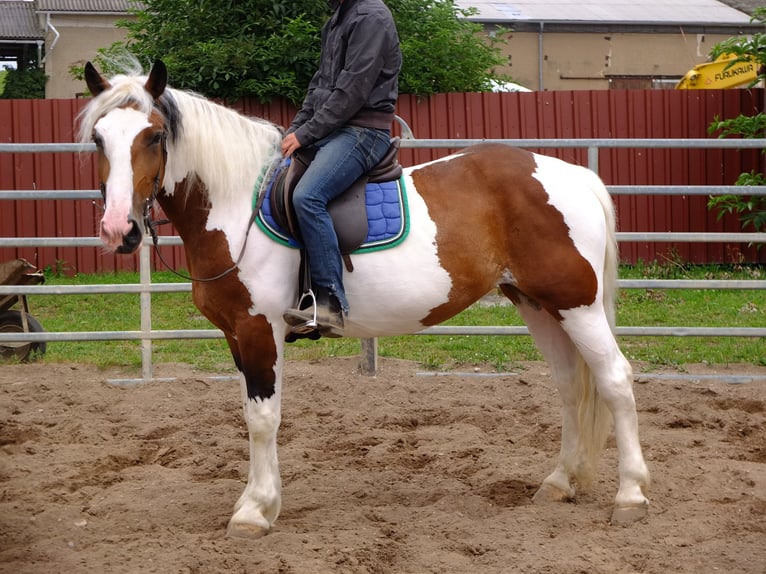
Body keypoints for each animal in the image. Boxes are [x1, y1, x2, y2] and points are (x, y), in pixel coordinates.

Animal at [81, 62, 652, 540]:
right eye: (98, 139)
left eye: (155, 135)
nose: (118, 230)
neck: (238, 205)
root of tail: (574, 175)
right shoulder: (239, 334)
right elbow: (254, 413)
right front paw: (264, 502)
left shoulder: (258, 328)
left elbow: (263, 419)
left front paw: (254, 511)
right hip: (538, 305)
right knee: (570, 385)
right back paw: (559, 483)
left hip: (576, 305)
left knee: (614, 380)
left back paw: (630, 494)